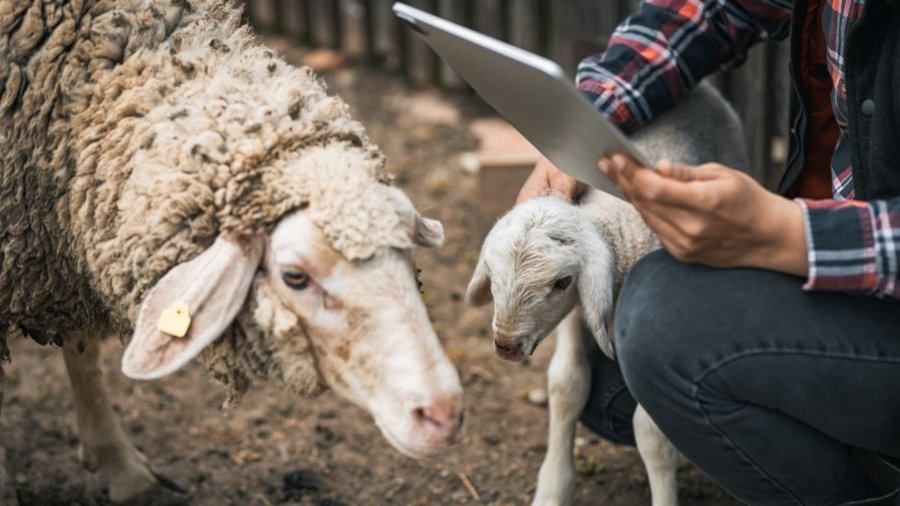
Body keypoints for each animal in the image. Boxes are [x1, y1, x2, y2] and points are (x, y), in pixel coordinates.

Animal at [466, 81, 749, 506]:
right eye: (494, 275)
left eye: (561, 282)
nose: (506, 345)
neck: (623, 226)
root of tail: (702, 88)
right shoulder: (576, 313)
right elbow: (565, 385)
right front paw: (552, 489)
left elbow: (651, 434)